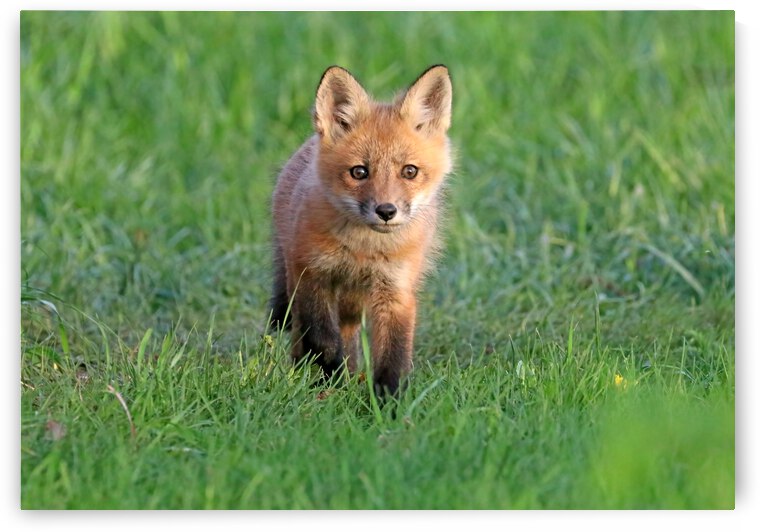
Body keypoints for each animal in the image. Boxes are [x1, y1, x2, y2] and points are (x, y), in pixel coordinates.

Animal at [269, 65, 453, 396]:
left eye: (410, 171)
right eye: (359, 172)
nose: (386, 211)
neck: (363, 251)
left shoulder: (396, 291)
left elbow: (394, 355)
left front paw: (388, 401)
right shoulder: (311, 274)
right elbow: (323, 340)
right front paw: (330, 376)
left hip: (353, 303)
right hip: (298, 284)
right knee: (304, 335)